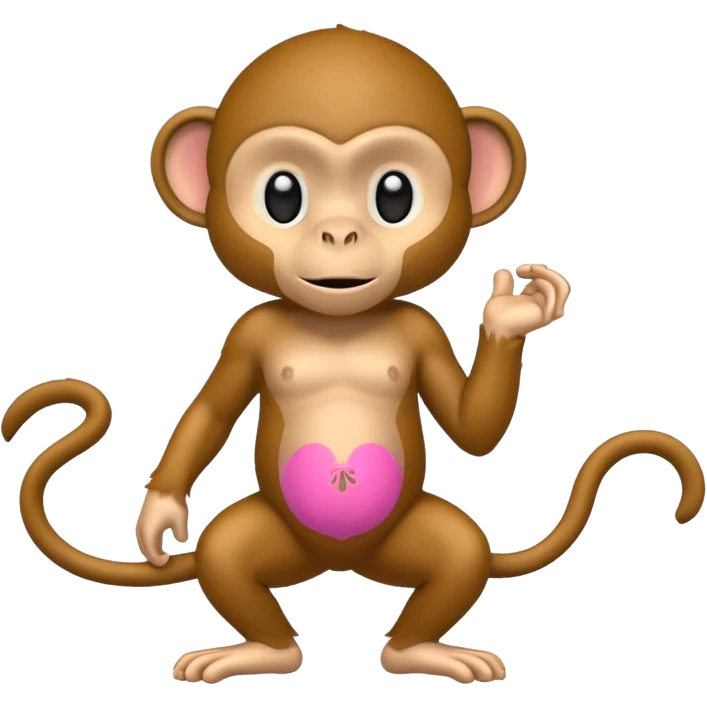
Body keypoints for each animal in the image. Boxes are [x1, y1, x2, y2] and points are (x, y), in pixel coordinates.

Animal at [4, 25, 705, 686]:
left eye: (394, 195)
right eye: (282, 195)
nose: (339, 233)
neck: (338, 321)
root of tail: (340, 563)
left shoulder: (422, 328)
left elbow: (472, 429)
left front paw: (514, 315)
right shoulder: (247, 332)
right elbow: (210, 412)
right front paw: (159, 516)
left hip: (409, 543)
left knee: (459, 554)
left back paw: (418, 651)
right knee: (227, 555)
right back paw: (264, 651)